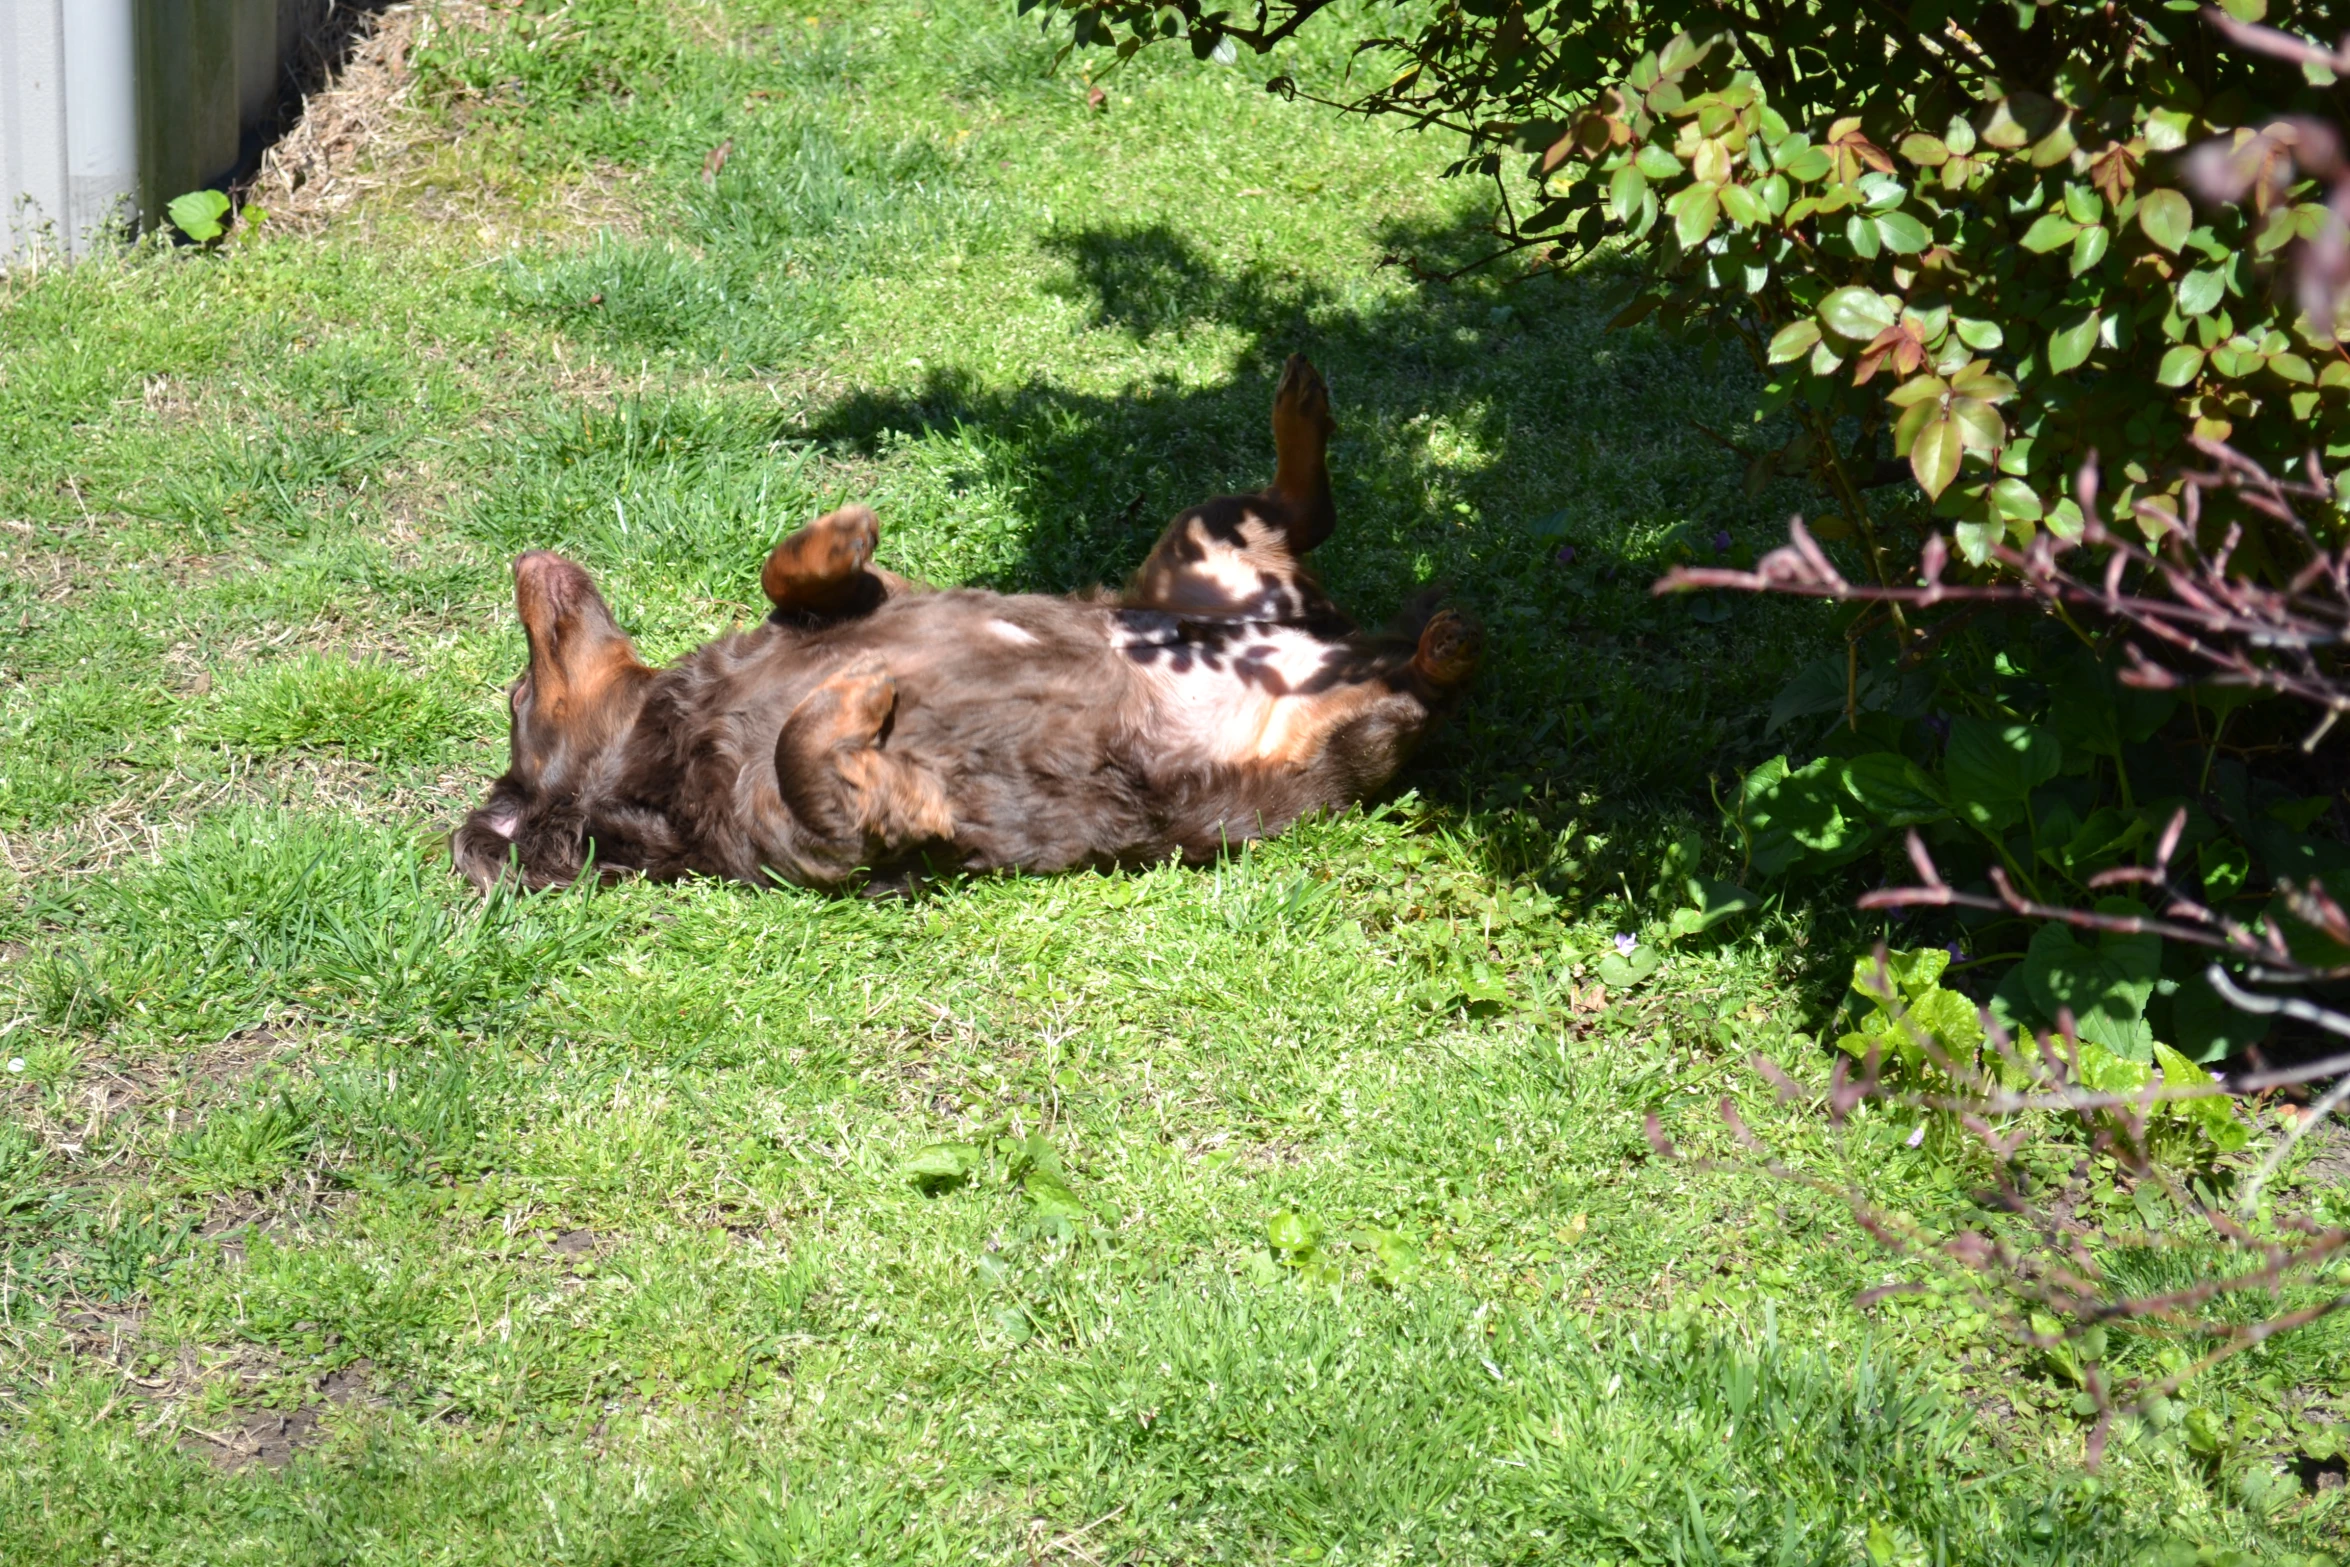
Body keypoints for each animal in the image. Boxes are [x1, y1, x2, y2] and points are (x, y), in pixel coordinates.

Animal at [451, 359, 1475, 892]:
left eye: (515, 687)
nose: (528, 560)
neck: (676, 737)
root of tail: (1340, 638)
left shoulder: (874, 596)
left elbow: (793, 574)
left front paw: (838, 535)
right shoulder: (835, 836)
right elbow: (804, 755)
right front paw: (855, 694)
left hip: (1196, 551)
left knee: (1295, 510)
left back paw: (1301, 410)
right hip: (1329, 737)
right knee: (1419, 687)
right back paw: (1446, 640)